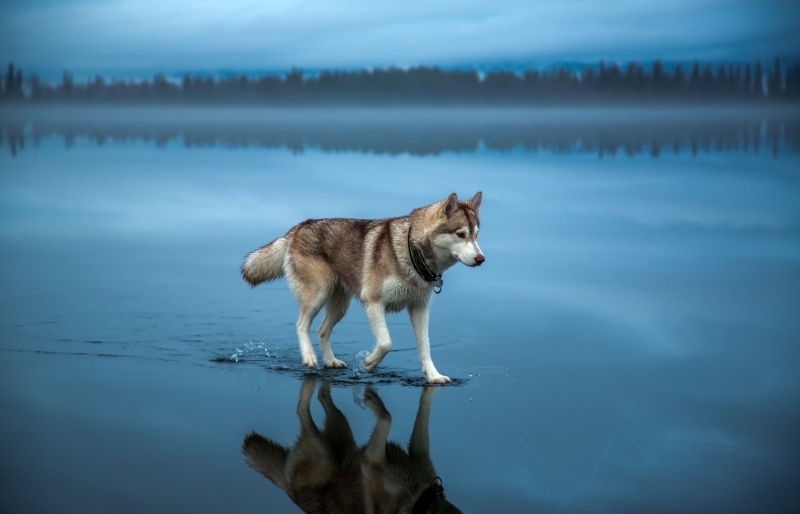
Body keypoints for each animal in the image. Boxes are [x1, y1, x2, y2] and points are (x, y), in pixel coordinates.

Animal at [241, 190, 484, 382]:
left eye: (476, 235)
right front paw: (369, 362)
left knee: (321, 331)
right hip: (317, 295)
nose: (481, 259)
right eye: (460, 234)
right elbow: (386, 342)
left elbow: (425, 347)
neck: (412, 252)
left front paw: (433, 376)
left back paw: (330, 361)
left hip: (340, 306)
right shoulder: (373, 302)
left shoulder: (419, 309)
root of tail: (300, 226)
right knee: (302, 324)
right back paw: (309, 357)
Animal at [242, 376, 462, 512]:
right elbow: (387, 418)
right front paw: (373, 401)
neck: (420, 499)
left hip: (341, 431)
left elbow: (423, 411)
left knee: (323, 396)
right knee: (301, 411)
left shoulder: (418, 452)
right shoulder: (372, 461)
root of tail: (288, 491)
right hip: (324, 454)